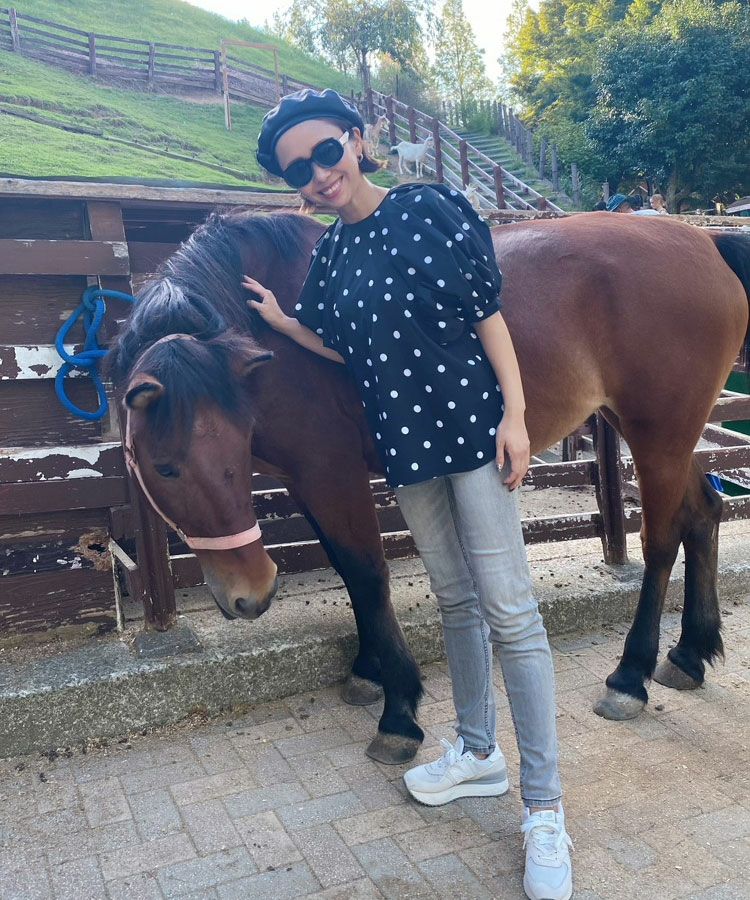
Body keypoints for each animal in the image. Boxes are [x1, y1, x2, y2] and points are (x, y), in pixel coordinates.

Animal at [110, 208, 749, 762]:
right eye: (161, 465)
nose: (252, 594)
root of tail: (704, 242)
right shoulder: (303, 481)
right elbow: (347, 571)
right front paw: (367, 670)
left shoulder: (331, 473)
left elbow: (367, 573)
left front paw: (398, 709)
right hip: (660, 434)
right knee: (704, 510)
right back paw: (689, 654)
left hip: (658, 435)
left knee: (661, 539)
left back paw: (630, 676)